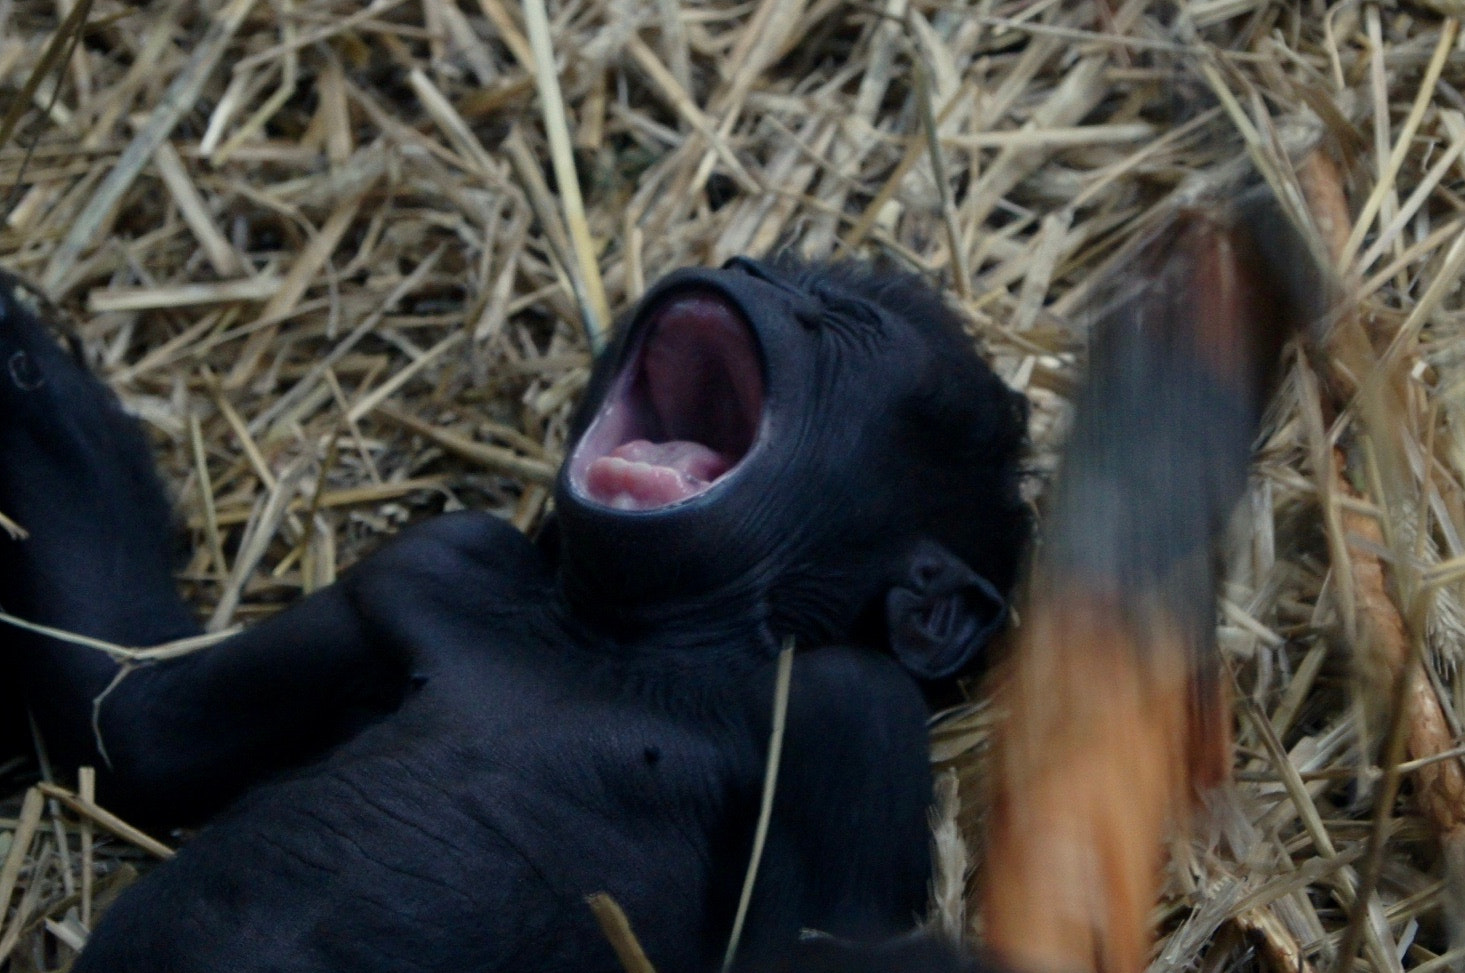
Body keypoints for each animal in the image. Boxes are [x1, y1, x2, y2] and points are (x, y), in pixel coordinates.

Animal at [0, 260, 1025, 973]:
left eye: (847, 321)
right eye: (774, 269)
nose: (747, 271)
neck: (625, 636)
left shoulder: (846, 708)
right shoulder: (433, 561)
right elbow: (134, 715)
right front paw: (22, 360)